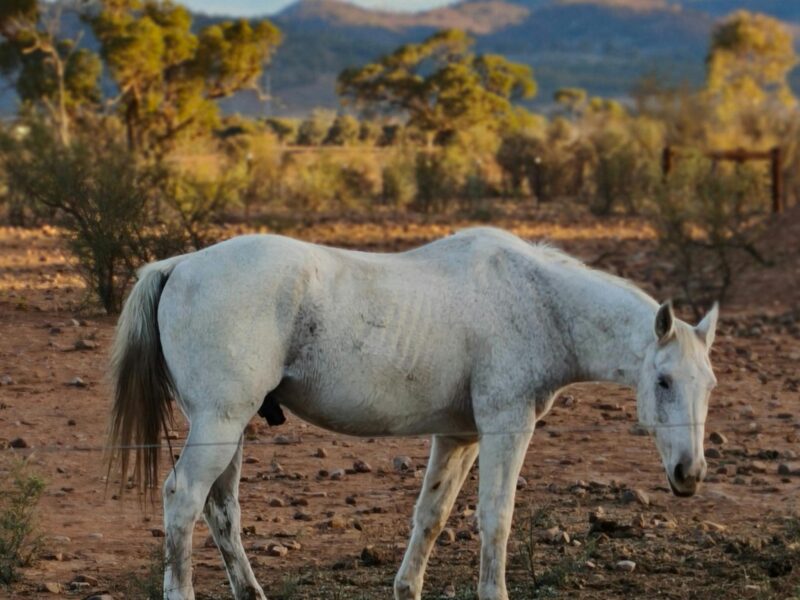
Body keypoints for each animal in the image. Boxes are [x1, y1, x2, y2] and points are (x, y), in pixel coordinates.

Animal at [107, 227, 718, 600]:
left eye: (708, 385)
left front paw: (407, 588)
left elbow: (432, 516)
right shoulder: (506, 427)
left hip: (228, 431)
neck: (537, 300)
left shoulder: (458, 437)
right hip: (220, 423)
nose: (689, 473)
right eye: (663, 381)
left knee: (221, 510)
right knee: (183, 499)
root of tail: (180, 264)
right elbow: (495, 518)